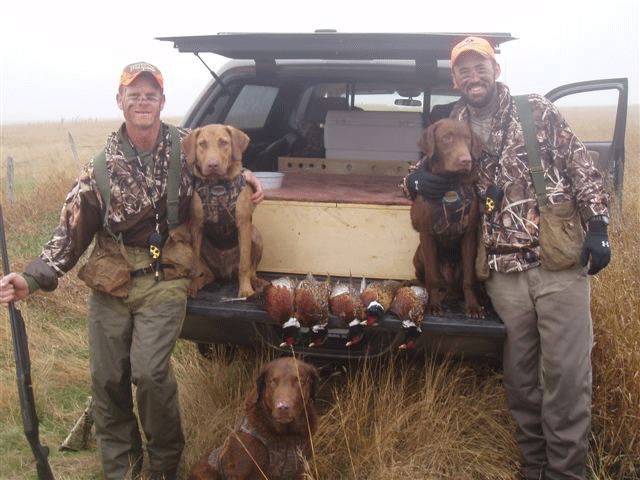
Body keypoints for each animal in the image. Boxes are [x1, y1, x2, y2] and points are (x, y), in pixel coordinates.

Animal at [182, 124, 264, 298]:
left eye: (224, 143)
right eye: (202, 144)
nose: (212, 164)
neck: (217, 186)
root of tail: (224, 272)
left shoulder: (244, 224)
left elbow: (245, 265)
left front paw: (245, 289)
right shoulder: (196, 227)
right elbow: (194, 266)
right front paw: (191, 285)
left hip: (255, 235)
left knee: (252, 271)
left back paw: (257, 283)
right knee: (207, 274)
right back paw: (197, 284)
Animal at [189, 356, 320, 480]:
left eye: (300, 382)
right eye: (273, 381)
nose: (282, 407)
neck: (286, 437)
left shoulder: (301, 469)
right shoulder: (238, 470)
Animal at [410, 117, 484, 316]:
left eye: (468, 139)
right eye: (446, 138)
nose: (466, 160)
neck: (450, 185)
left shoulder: (469, 236)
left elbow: (468, 278)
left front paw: (473, 306)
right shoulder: (427, 235)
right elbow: (432, 277)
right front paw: (433, 305)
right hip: (419, 254)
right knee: (427, 279)